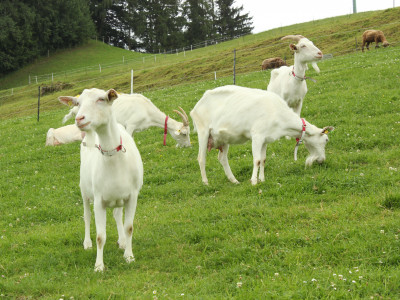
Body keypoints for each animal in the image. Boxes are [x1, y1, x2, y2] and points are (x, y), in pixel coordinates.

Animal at [59, 87, 144, 272]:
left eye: (101, 99)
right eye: (78, 103)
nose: (79, 118)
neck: (114, 159)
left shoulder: (132, 196)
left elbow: (129, 227)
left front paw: (129, 256)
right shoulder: (99, 200)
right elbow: (100, 236)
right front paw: (99, 266)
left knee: (117, 215)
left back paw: (122, 242)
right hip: (84, 191)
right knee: (86, 215)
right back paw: (87, 243)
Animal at [189, 85, 332, 185]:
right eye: (326, 139)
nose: (322, 160)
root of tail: (195, 107)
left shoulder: (265, 139)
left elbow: (263, 159)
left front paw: (262, 179)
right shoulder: (257, 136)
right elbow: (256, 160)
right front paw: (253, 181)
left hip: (223, 138)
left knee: (222, 158)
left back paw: (234, 180)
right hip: (203, 132)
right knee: (201, 158)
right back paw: (206, 182)